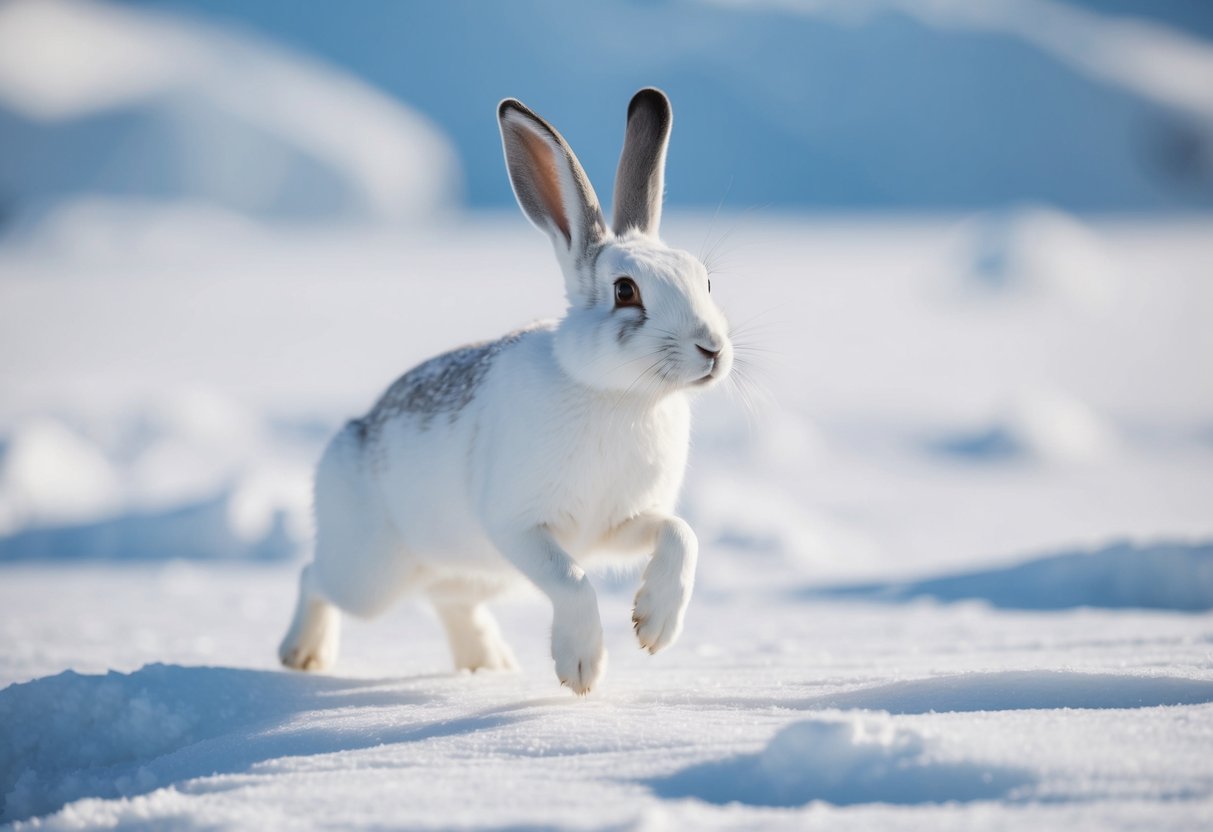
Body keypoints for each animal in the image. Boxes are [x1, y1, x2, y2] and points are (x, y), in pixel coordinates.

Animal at [279, 88, 732, 694]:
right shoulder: (520, 526)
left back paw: (487, 663)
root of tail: (352, 433)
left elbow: (681, 534)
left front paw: (655, 629)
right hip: (371, 573)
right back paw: (303, 654)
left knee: (447, 600)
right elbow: (571, 579)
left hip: (478, 573)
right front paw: (581, 668)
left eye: (705, 281)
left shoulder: (619, 525)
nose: (713, 349)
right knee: (315, 577)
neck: (619, 396)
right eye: (625, 291)